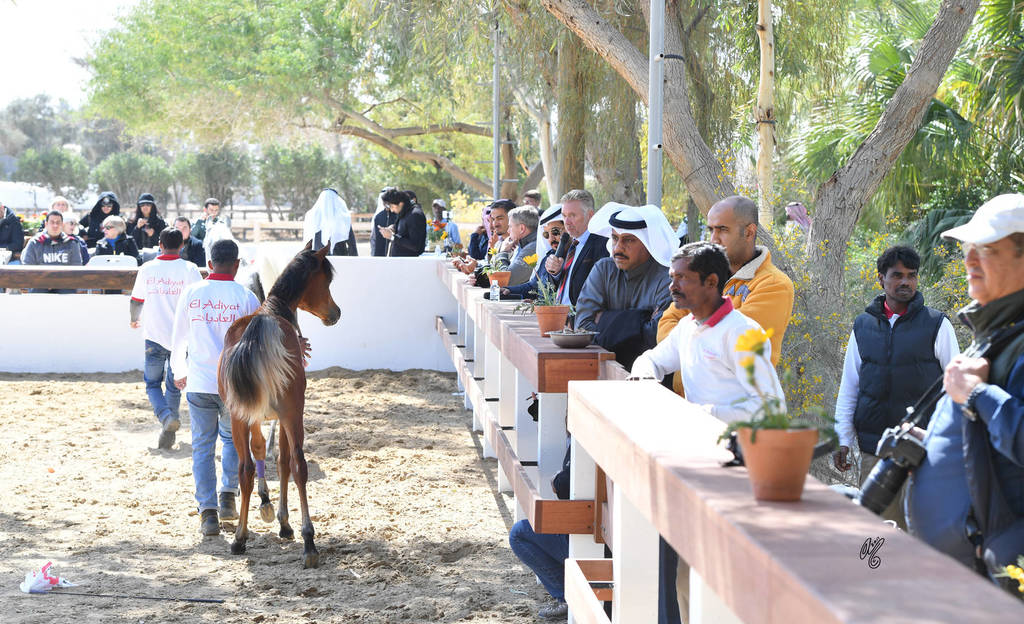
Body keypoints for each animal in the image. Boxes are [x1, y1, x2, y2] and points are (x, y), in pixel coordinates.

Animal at [218, 242, 340, 568]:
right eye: (327, 281)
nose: (335, 312)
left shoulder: (256, 417)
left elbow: (262, 456)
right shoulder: (284, 416)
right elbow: (283, 462)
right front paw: (285, 524)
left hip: (238, 417)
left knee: (245, 469)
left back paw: (239, 538)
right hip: (292, 411)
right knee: (298, 464)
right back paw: (309, 542)